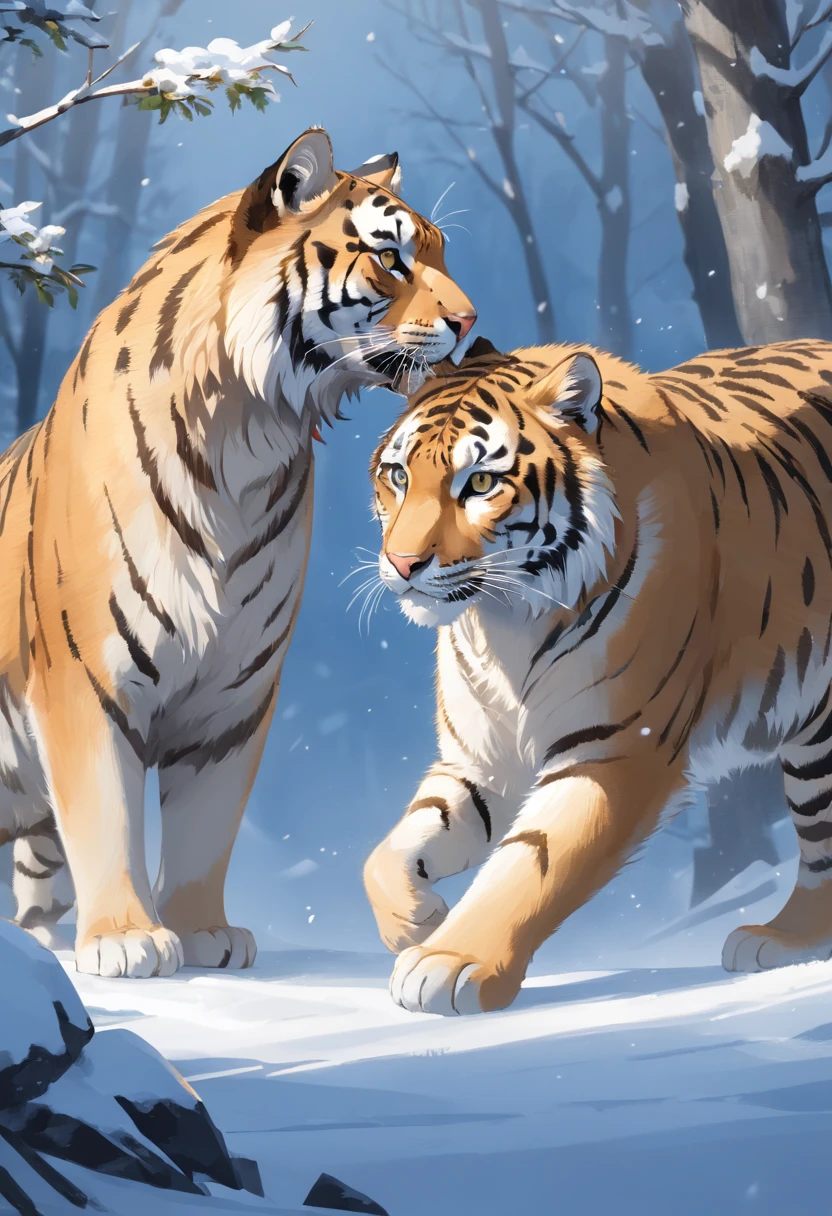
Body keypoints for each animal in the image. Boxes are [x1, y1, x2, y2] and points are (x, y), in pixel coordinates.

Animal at [0, 125, 475, 978]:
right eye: (391, 257)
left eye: (442, 252)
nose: (470, 319)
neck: (246, 434)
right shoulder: (87, 681)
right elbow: (106, 812)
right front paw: (125, 940)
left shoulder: (235, 692)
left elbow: (206, 827)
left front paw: (200, 934)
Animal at [363, 335, 832, 1014]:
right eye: (398, 476)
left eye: (480, 482)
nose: (402, 564)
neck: (504, 624)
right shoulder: (482, 760)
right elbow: (394, 847)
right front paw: (413, 920)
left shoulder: (614, 754)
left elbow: (533, 863)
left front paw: (450, 961)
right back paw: (788, 940)